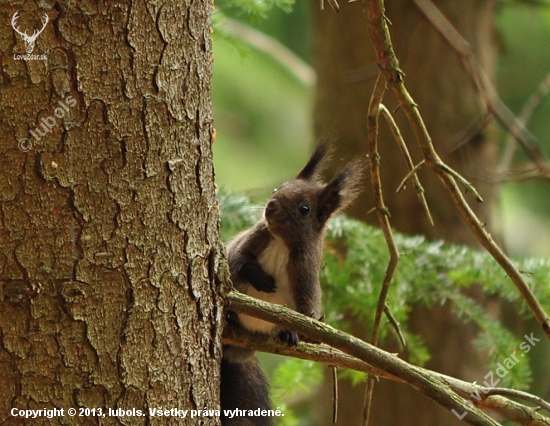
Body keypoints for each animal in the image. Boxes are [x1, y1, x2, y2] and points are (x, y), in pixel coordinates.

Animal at [222, 141, 364, 424]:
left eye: (304, 209)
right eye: (278, 188)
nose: (271, 205)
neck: (281, 242)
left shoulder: (305, 274)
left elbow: (307, 309)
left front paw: (297, 331)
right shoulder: (250, 240)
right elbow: (238, 258)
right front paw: (260, 278)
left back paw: (282, 333)